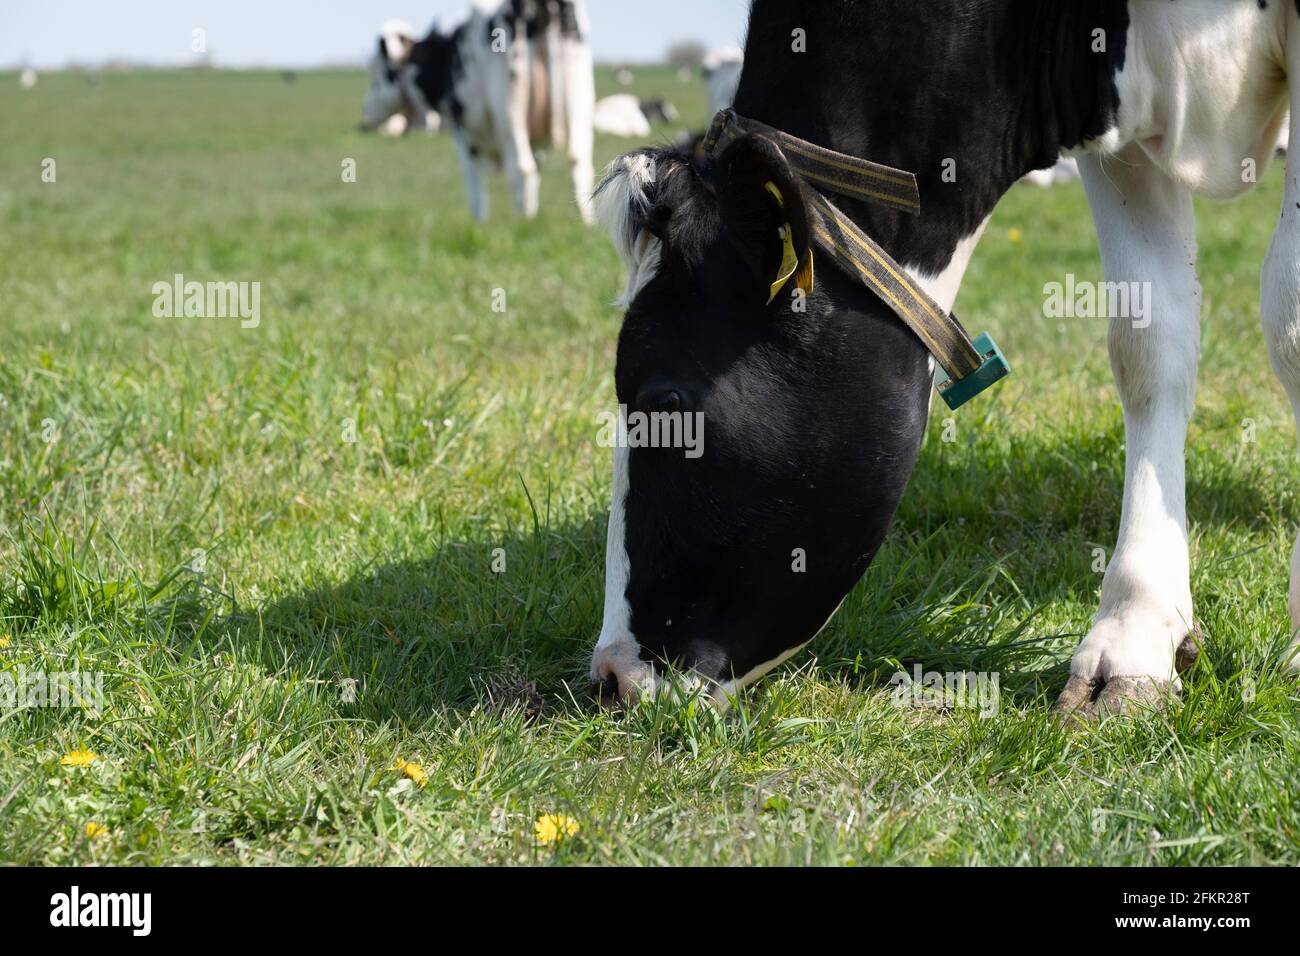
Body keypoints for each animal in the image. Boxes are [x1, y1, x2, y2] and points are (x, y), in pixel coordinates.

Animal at [361, 2, 595, 223]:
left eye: (377, 77)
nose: (364, 113)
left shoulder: (461, 130)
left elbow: (475, 188)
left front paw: (480, 223)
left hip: (509, 110)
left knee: (523, 169)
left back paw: (522, 223)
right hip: (579, 101)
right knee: (578, 164)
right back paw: (586, 225)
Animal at [589, 0, 1300, 718]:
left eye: (664, 401)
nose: (611, 676)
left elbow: (1288, 321)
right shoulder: (1111, 109)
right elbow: (1147, 340)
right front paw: (1134, 639)